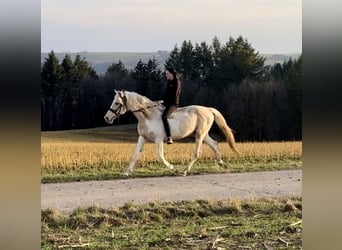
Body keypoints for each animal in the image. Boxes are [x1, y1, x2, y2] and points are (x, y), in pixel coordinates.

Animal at [103, 89, 239, 176]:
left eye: (117, 103)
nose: (106, 118)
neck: (147, 117)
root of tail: (209, 110)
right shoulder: (142, 138)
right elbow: (135, 155)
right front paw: (126, 172)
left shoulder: (158, 140)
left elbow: (160, 157)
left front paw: (174, 169)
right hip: (201, 134)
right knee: (214, 144)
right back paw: (221, 163)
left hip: (200, 134)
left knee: (197, 152)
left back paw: (184, 170)